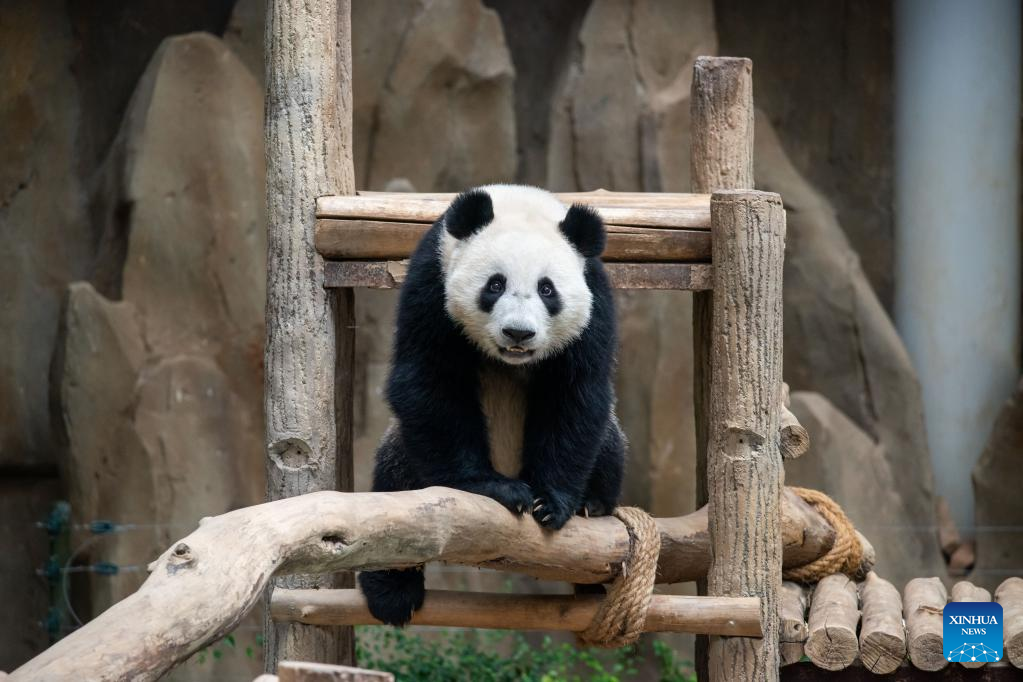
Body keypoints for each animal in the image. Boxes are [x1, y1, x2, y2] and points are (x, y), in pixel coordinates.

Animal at [360, 184, 630, 625]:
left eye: (547, 289)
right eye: (495, 285)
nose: (518, 333)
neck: (520, 202)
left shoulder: (595, 302)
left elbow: (575, 394)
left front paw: (550, 503)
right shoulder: (432, 281)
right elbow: (429, 379)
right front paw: (495, 489)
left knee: (608, 443)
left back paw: (593, 504)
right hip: (406, 457)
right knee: (394, 494)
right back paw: (392, 593)